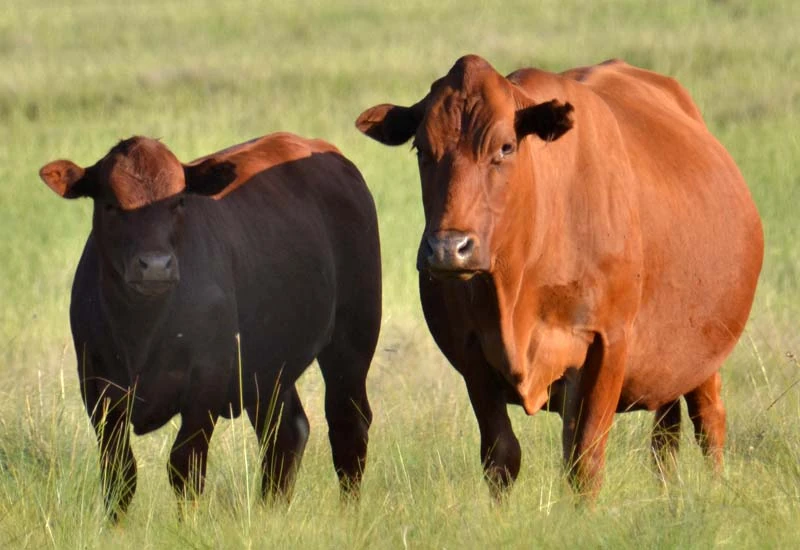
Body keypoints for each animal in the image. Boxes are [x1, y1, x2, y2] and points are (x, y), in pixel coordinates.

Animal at [38, 133, 382, 519]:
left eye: (178, 202)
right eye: (111, 205)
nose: (155, 266)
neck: (141, 330)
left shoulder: (206, 382)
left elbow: (185, 466)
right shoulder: (98, 386)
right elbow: (119, 471)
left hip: (352, 339)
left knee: (347, 423)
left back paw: (349, 510)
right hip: (268, 367)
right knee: (286, 432)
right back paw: (271, 510)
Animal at [356, 55, 763, 498]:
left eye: (505, 146)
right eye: (421, 149)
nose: (449, 248)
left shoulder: (608, 344)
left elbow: (585, 459)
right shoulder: (472, 353)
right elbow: (501, 456)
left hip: (705, 352)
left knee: (708, 420)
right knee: (666, 431)